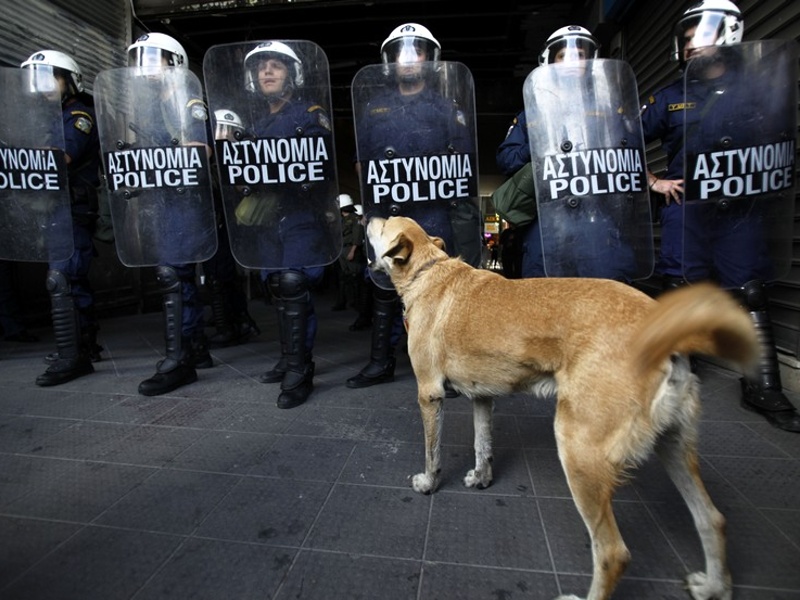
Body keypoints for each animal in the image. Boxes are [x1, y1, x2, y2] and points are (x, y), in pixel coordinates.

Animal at [366, 216, 760, 600]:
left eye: (384, 223)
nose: (367, 215)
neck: (427, 271)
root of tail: (663, 330)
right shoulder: (483, 397)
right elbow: (482, 444)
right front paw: (481, 477)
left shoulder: (429, 395)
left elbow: (432, 453)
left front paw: (429, 483)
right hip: (674, 446)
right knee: (711, 519)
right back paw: (713, 586)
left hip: (579, 450)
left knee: (613, 553)